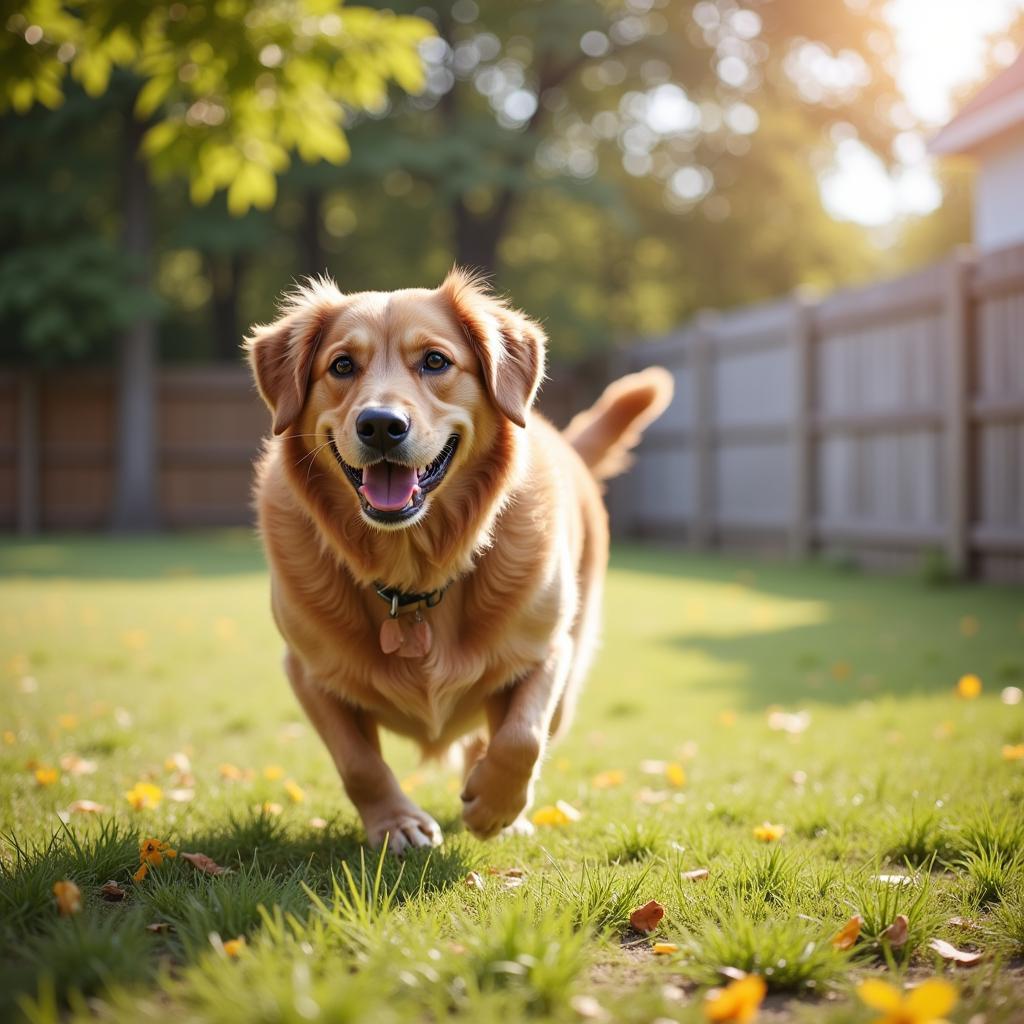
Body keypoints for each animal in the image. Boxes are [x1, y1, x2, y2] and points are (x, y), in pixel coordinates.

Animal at [244, 268, 675, 851]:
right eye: (342, 365)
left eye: (435, 361)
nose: (381, 425)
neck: (413, 572)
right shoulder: (308, 672)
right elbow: (359, 762)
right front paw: (397, 823)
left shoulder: (546, 651)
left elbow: (521, 737)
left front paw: (494, 806)